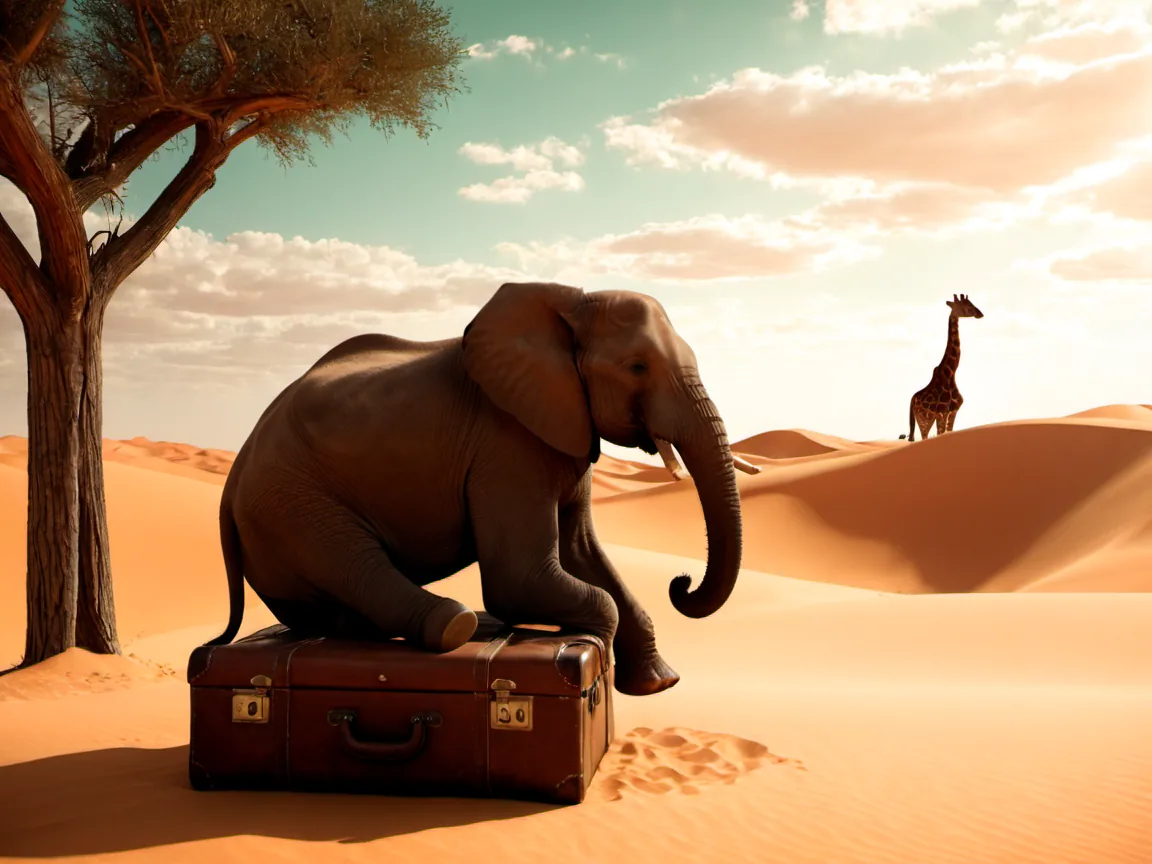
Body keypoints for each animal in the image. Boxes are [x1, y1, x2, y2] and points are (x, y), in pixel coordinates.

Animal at [208, 281, 746, 696]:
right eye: (637, 367)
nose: (681, 583)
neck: (571, 305)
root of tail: (231, 482)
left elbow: (585, 555)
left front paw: (658, 684)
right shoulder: (504, 443)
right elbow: (522, 580)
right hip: (290, 502)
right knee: (355, 562)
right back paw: (457, 624)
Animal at [907, 294, 984, 442]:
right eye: (967, 306)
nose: (980, 314)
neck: (951, 374)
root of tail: (912, 400)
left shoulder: (953, 411)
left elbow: (948, 431)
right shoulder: (942, 412)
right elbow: (941, 433)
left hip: (928, 417)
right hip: (922, 417)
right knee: (924, 436)